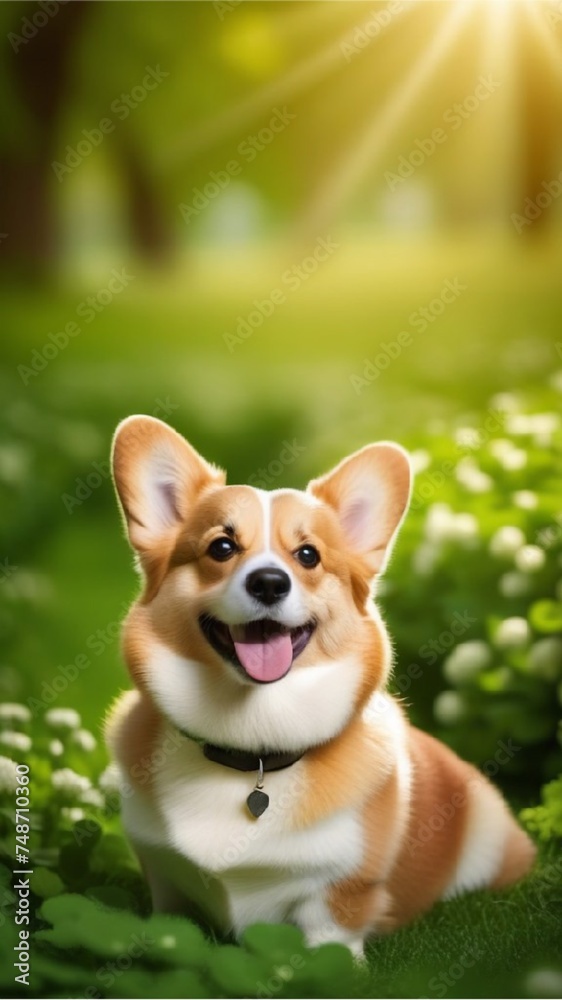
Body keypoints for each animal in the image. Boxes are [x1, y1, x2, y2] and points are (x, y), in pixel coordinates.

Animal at [106, 414, 532, 952]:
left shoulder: (336, 897)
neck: (254, 748)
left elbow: (326, 946)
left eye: (308, 555)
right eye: (221, 547)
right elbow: (171, 923)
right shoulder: (165, 880)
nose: (269, 582)